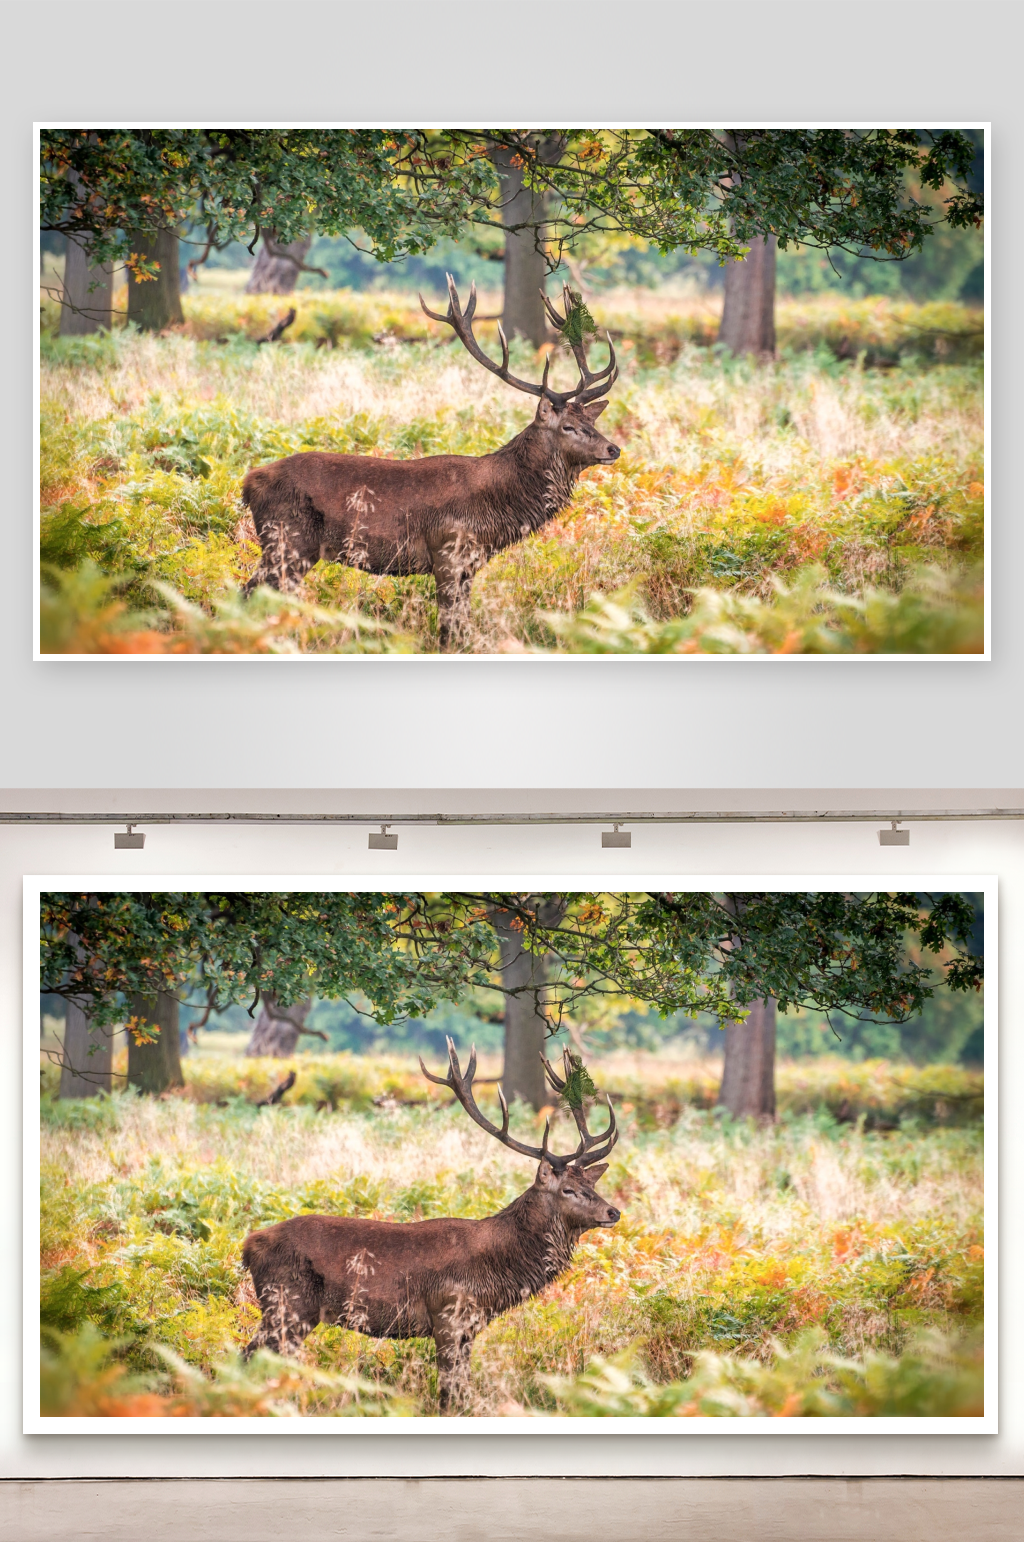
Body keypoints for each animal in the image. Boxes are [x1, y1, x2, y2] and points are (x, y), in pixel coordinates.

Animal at [239, 278, 621, 649]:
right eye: (568, 426)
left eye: (592, 422)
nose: (613, 448)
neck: (496, 513)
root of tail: (248, 483)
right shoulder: (448, 552)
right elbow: (449, 630)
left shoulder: (468, 566)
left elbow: (462, 627)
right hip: (287, 541)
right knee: (247, 593)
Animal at [240, 1043, 621, 1412]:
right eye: (568, 1190)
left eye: (591, 1184)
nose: (613, 1211)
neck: (496, 1276)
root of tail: (248, 1246)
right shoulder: (448, 1315)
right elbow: (448, 1393)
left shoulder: (469, 1328)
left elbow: (461, 1390)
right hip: (288, 1303)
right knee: (247, 1356)